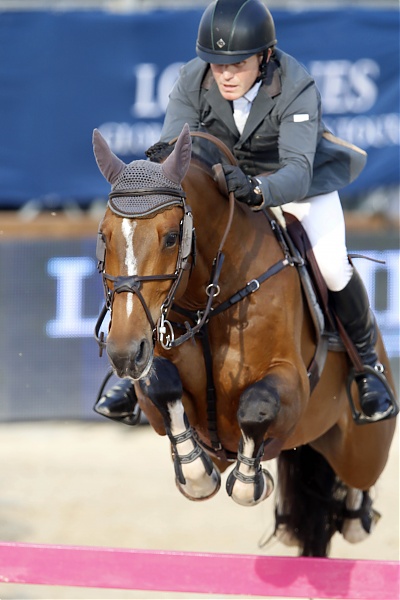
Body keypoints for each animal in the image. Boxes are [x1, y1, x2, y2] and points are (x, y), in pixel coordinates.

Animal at [93, 123, 396, 556]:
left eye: (171, 238)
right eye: (103, 236)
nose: (124, 353)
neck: (207, 298)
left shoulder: (292, 382)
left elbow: (258, 407)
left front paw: (253, 481)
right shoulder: (170, 399)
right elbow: (161, 387)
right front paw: (195, 471)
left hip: (362, 445)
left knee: (359, 475)